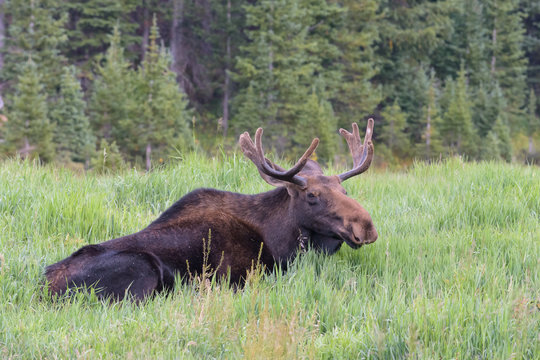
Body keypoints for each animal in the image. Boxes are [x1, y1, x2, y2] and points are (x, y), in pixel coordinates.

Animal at [45, 119, 376, 300]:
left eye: (345, 191)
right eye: (312, 195)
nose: (367, 227)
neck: (282, 241)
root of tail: (44, 289)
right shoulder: (239, 277)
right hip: (143, 268)